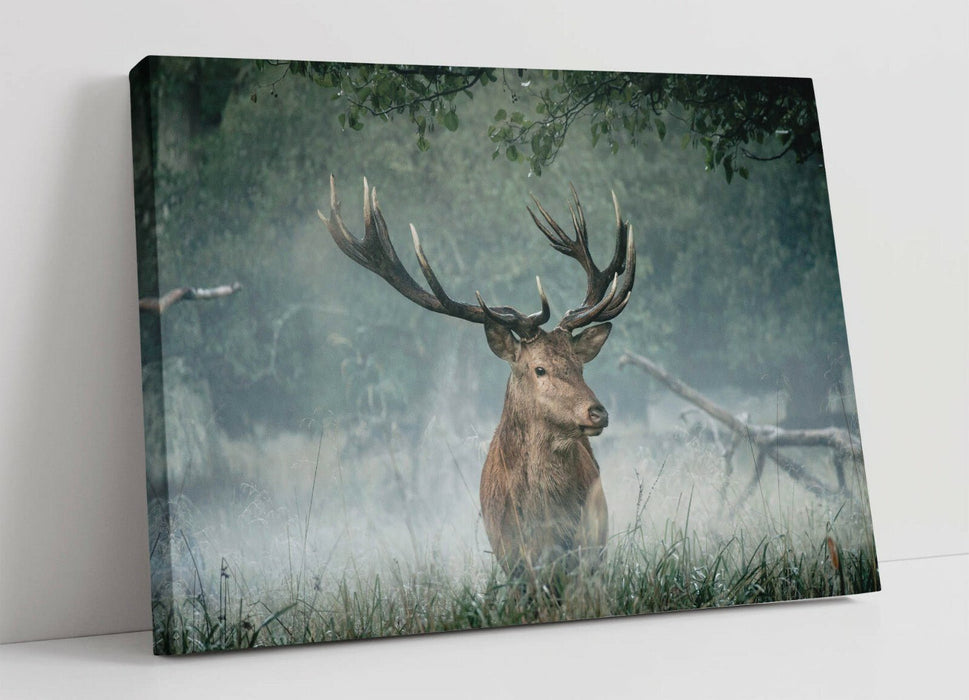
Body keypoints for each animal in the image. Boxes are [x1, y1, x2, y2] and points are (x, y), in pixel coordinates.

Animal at [319, 176, 635, 582]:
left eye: (580, 366)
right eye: (539, 368)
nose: (597, 412)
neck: (544, 527)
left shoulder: (587, 553)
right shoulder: (512, 560)